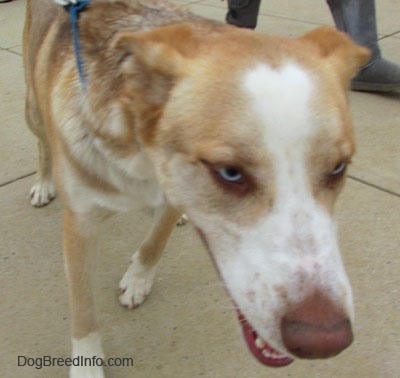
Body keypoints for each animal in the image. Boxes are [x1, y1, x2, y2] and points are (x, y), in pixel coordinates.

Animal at [24, 0, 368, 376]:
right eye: (229, 173)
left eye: (338, 168)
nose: (326, 340)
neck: (141, 155)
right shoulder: (80, 225)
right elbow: (84, 311)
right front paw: (86, 366)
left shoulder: (171, 193)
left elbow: (154, 244)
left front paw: (138, 279)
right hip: (33, 112)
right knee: (41, 144)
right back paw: (43, 182)